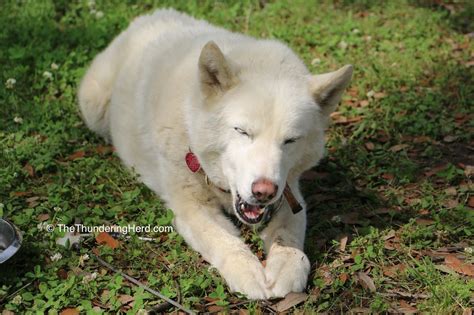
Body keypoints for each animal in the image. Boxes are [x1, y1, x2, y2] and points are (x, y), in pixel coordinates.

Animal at [78, 8, 352, 300]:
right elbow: (224, 242)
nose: (263, 192)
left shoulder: (288, 193)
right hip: (93, 106)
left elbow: (289, 235)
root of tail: (152, 15)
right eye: (242, 131)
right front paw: (248, 271)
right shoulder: (193, 210)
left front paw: (287, 266)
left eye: (290, 140)